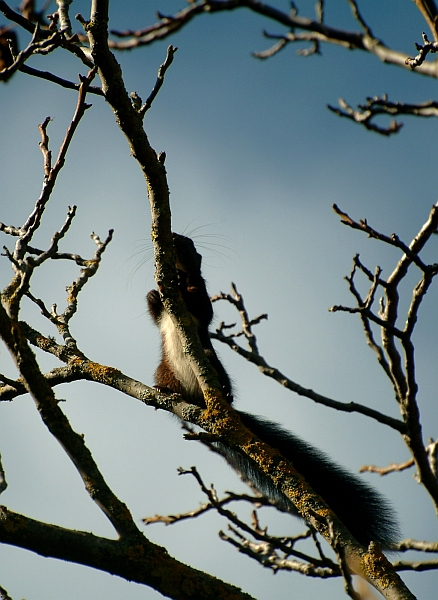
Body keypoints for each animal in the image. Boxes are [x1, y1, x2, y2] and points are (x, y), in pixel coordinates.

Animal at [148, 233, 400, 548]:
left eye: (189, 243)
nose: (173, 237)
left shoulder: (201, 299)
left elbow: (202, 305)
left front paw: (183, 284)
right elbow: (154, 311)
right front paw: (155, 293)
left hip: (215, 365)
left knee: (216, 367)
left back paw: (225, 392)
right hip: (164, 368)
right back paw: (163, 390)